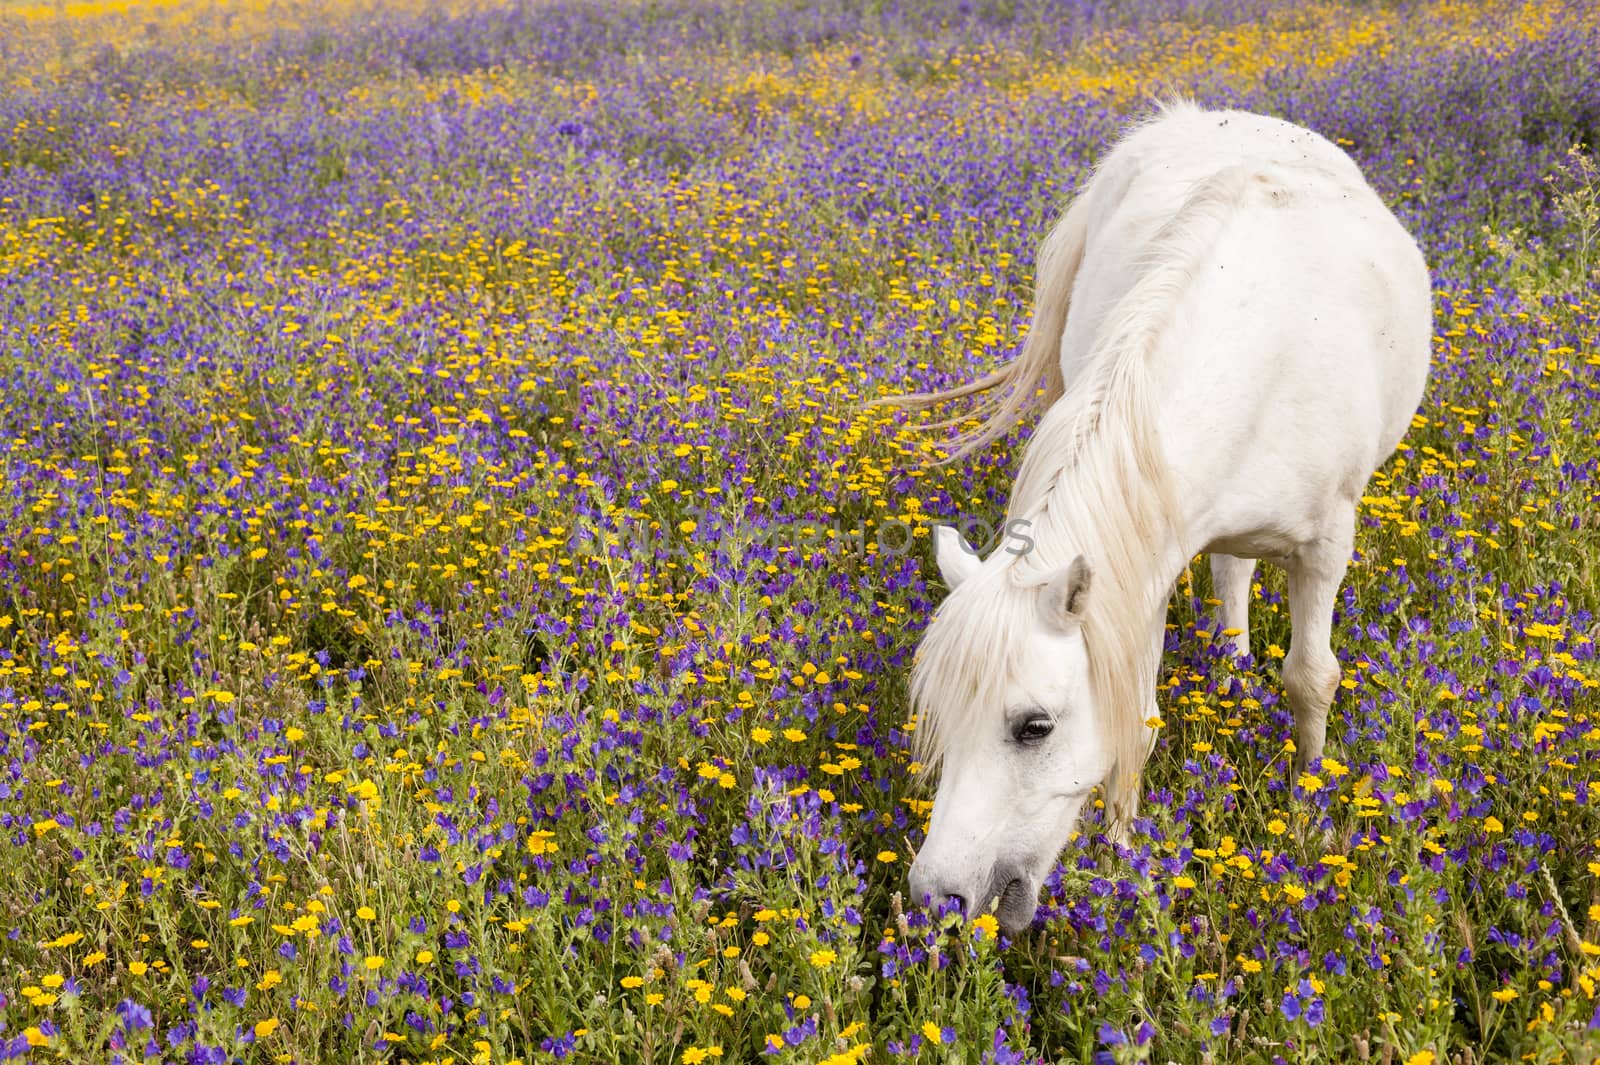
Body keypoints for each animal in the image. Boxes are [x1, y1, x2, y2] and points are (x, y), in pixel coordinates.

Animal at [896, 101, 1433, 927]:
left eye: (1033, 727)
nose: (936, 899)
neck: (1263, 344)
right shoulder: (1136, 571)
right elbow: (1137, 721)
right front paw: (1125, 861)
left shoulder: (1325, 547)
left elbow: (1311, 677)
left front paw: (1308, 824)